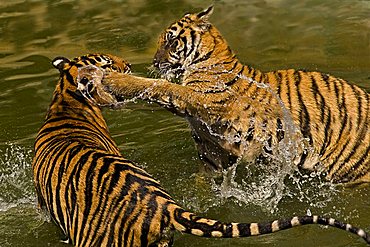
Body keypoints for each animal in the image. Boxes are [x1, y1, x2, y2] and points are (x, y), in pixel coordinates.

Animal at [94, 5, 368, 184]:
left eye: (171, 41)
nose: (153, 61)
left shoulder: (200, 100)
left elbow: (159, 86)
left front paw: (111, 79)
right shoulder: (213, 151)